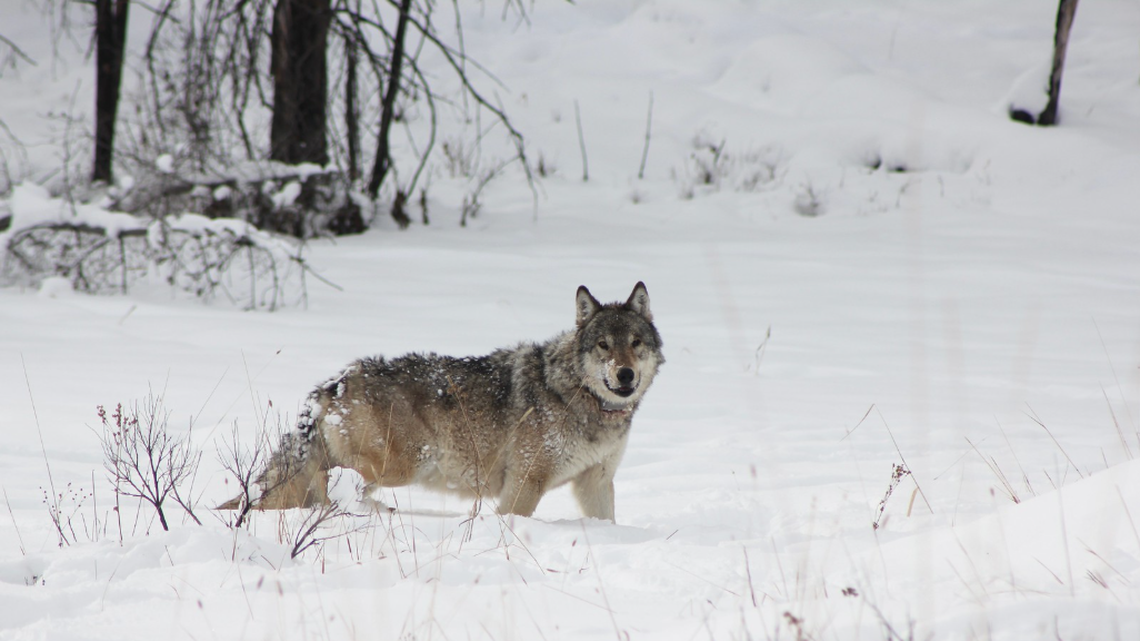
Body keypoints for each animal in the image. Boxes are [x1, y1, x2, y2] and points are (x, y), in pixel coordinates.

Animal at [221, 282, 663, 521]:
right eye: (603, 345)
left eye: (634, 343)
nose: (625, 375)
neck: (578, 396)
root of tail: (335, 383)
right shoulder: (525, 483)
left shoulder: (597, 482)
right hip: (405, 463)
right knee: (343, 490)